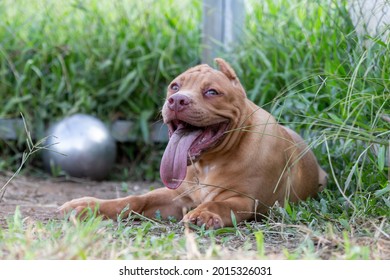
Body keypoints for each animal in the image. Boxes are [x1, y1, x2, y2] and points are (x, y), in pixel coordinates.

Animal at [59, 58, 328, 229]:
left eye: (212, 92)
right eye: (175, 86)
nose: (177, 100)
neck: (208, 162)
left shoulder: (247, 200)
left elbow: (219, 202)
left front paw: (205, 213)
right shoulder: (175, 197)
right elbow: (135, 199)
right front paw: (89, 206)